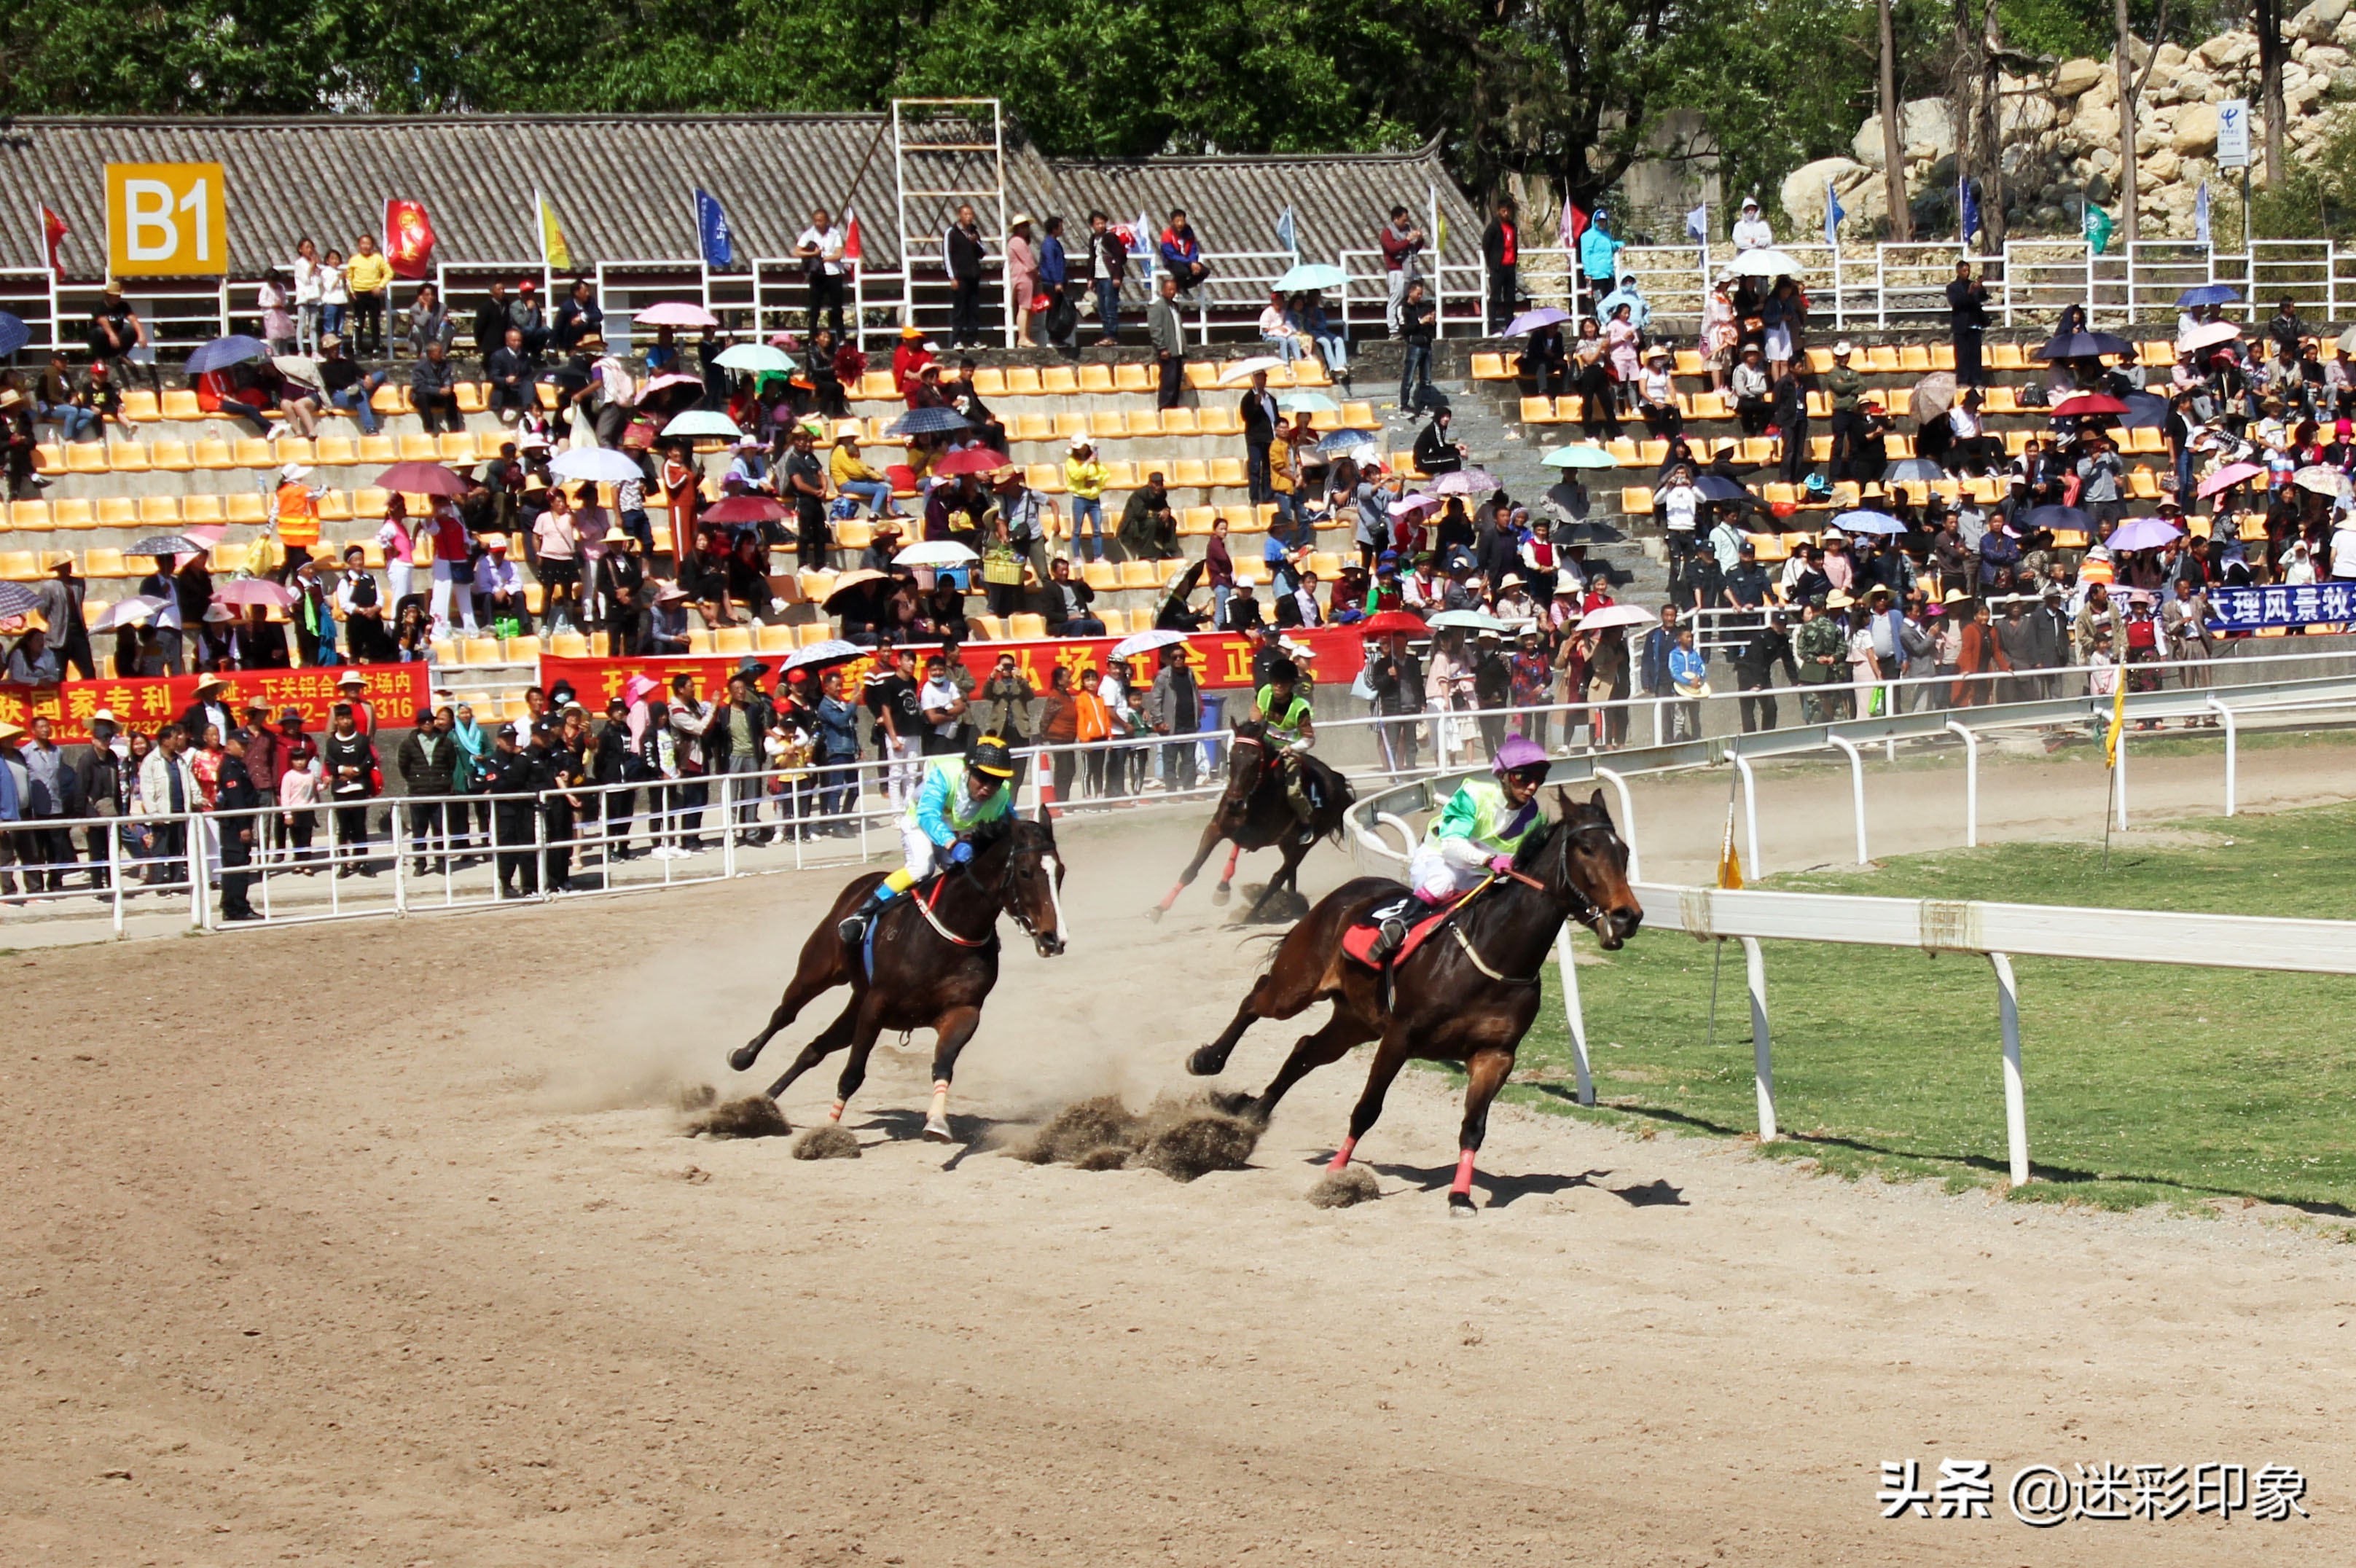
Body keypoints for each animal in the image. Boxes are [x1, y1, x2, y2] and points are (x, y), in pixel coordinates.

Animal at [730, 805, 1074, 1134]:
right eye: (1025, 872)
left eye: (1060, 872)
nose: (1053, 938)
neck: (950, 931)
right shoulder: (876, 1004)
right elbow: (852, 1074)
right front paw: (828, 1131)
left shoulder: (964, 1010)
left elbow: (943, 1064)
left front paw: (937, 1122)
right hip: (819, 971)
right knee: (785, 1014)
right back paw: (743, 1058)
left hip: (855, 1003)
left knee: (814, 1048)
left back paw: (762, 1104)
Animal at [1145, 725, 1357, 928]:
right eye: (1232, 756)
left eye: (1256, 759)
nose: (1235, 802)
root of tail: (1338, 780)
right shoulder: (1216, 828)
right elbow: (1192, 869)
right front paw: (1158, 909)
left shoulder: (1256, 837)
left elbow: (1237, 848)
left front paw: (1222, 890)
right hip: (1288, 843)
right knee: (1290, 874)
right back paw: (1292, 904)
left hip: (1303, 845)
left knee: (1278, 877)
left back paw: (1252, 914)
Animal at [1178, 786, 1640, 1215]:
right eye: (1586, 849)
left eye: (1623, 851)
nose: (1627, 916)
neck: (1493, 954)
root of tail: (1347, 891)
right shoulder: (1400, 1036)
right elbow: (1367, 1109)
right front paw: (1336, 1178)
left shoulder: (1495, 1054)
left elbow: (1474, 1127)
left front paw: (1460, 1196)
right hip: (1297, 986)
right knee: (1256, 999)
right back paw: (1208, 1059)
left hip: (1356, 1020)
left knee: (1305, 1049)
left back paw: (1253, 1115)